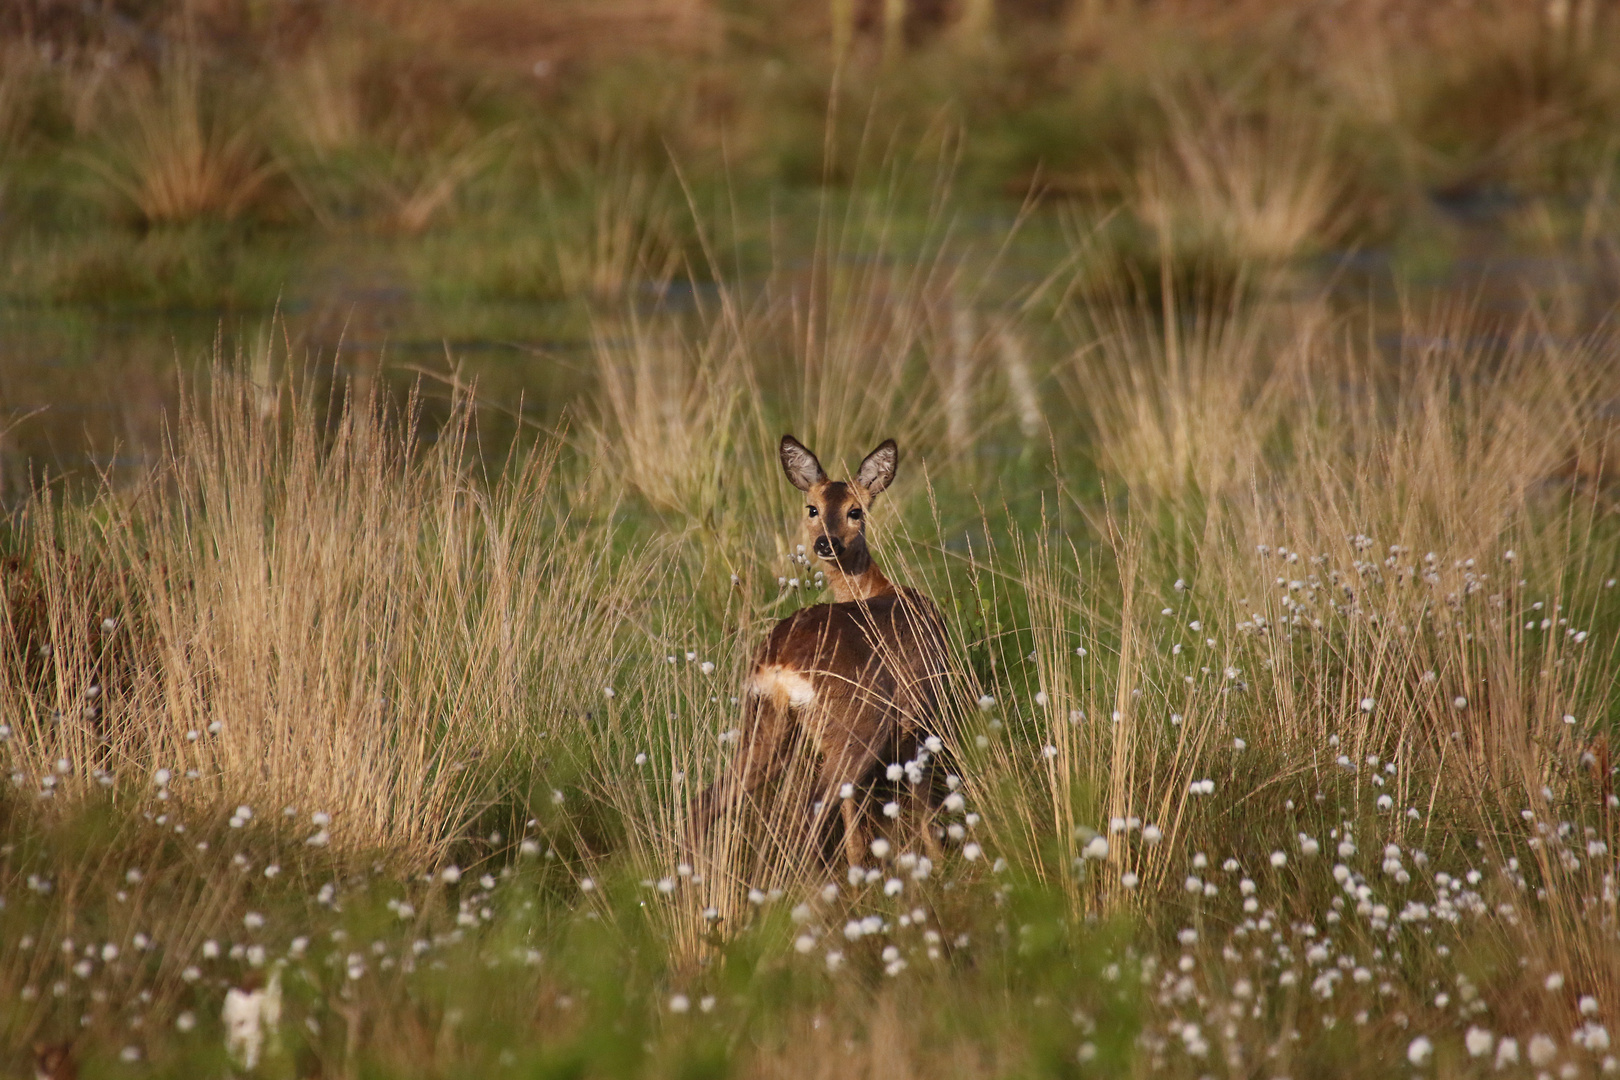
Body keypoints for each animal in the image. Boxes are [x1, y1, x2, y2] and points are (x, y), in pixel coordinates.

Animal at [686, 433, 946, 867]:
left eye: (855, 510)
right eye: (813, 508)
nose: (827, 542)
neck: (878, 589)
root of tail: (779, 664)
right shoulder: (920, 715)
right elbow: (922, 802)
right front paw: (937, 861)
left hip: (765, 722)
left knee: (704, 801)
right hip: (855, 726)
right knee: (809, 812)